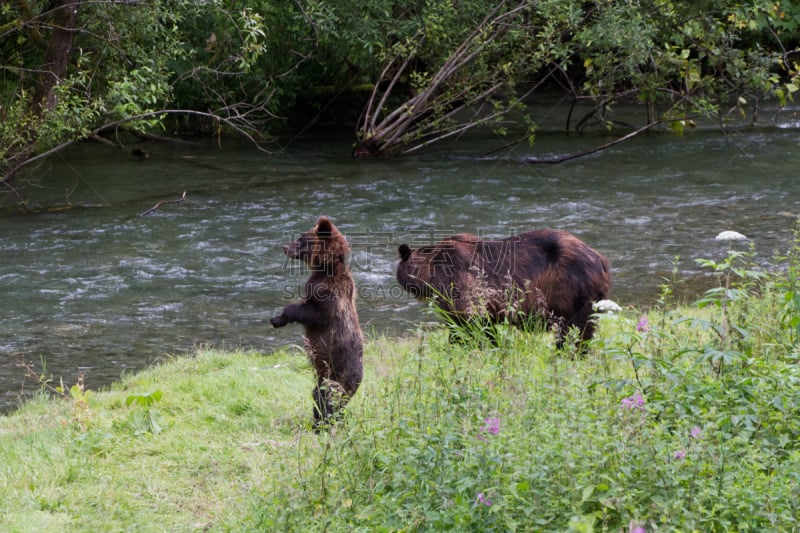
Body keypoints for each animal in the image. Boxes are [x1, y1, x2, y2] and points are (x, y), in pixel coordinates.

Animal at [272, 216, 366, 428]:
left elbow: (311, 312)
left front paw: (277, 318)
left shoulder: (328, 295)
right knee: (319, 396)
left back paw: (322, 423)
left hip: (338, 371)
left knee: (329, 397)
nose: (284, 246)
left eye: (301, 239)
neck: (325, 267)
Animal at [396, 230, 612, 348]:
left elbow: (468, 324)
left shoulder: (461, 286)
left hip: (571, 289)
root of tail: (601, 259)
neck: (430, 274)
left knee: (575, 330)